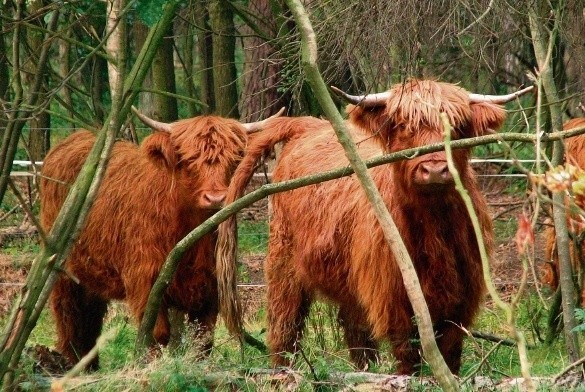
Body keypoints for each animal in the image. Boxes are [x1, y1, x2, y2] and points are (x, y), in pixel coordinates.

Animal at [217, 79, 532, 374]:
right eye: (404, 126)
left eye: (457, 126)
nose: (434, 170)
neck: (434, 226)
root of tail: (308, 123)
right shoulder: (393, 299)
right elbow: (408, 354)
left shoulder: (461, 300)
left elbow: (450, 355)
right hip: (283, 263)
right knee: (284, 328)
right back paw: (282, 373)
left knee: (356, 334)